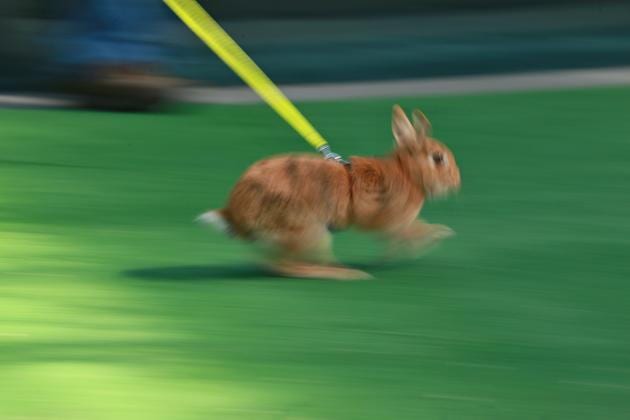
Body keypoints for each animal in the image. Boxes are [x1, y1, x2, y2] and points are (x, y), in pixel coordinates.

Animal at [200, 105, 462, 280]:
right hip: (310, 230)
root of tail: (237, 215)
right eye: (438, 159)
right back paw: (347, 273)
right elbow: (412, 231)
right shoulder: (393, 219)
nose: (457, 183)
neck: (408, 174)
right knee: (286, 267)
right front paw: (438, 234)